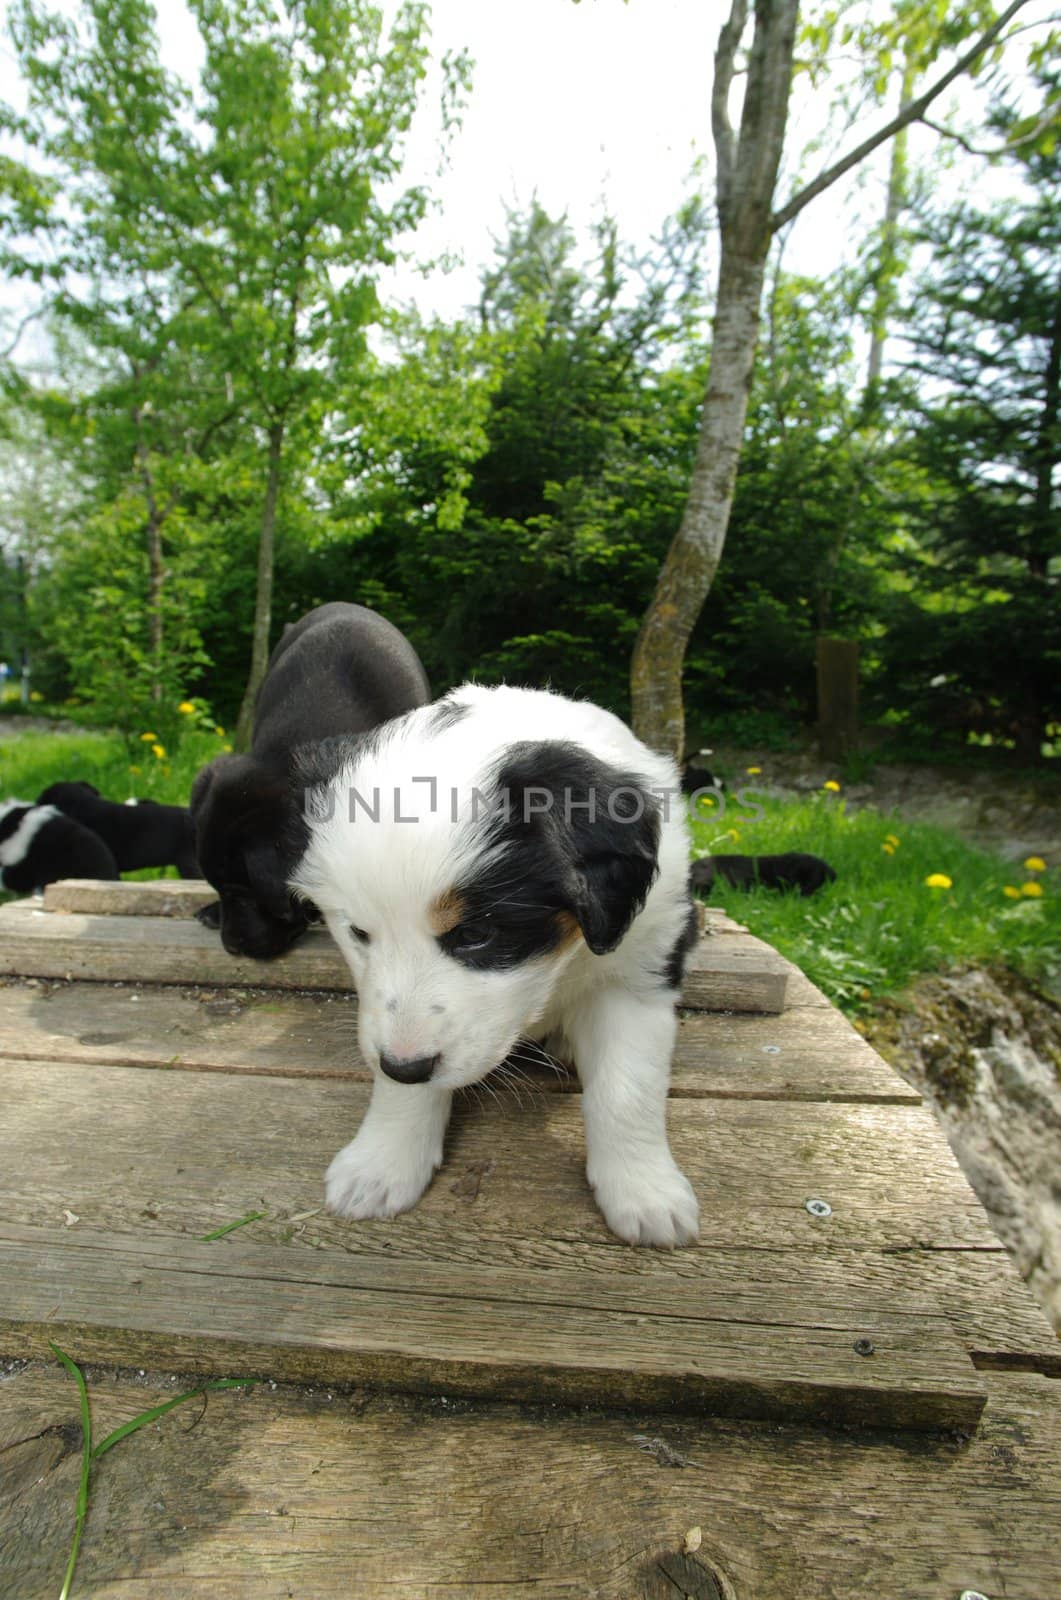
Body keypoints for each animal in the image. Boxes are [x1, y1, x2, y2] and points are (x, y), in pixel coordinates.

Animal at [294, 678, 700, 1248]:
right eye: (358, 933)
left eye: (476, 935)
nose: (406, 1066)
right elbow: (400, 1082)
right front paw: (382, 1164)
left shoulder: (637, 971)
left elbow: (626, 1091)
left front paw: (645, 1193)